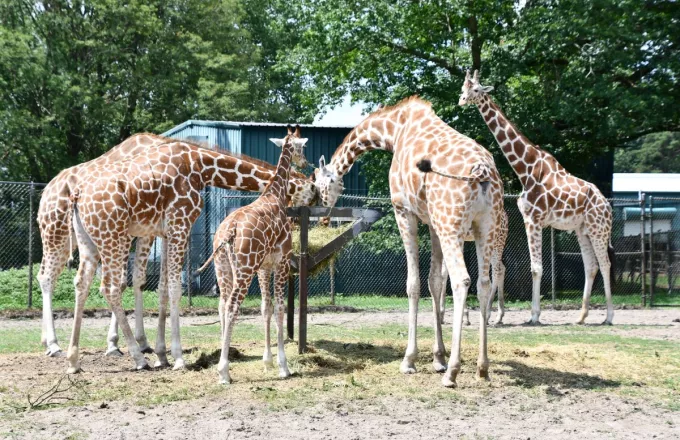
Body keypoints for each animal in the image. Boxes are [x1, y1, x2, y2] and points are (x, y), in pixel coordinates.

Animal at [35, 132, 316, 360]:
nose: (306, 164)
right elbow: (163, 285)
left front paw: (154, 348)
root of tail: (50, 192)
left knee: (71, 280)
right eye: (312, 192)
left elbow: (158, 286)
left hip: (80, 239)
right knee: (67, 280)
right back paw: (67, 346)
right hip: (71, 235)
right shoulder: (173, 225)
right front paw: (169, 352)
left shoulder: (160, 231)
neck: (200, 166)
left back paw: (65, 352)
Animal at [314, 97, 504, 388]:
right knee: (483, 283)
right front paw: (438, 357)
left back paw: (453, 372)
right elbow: (435, 282)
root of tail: (482, 173)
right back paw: (482, 368)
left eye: (320, 183)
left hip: (453, 226)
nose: (324, 216)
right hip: (484, 228)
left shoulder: (404, 211)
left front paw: (410, 360)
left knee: (462, 280)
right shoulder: (433, 222)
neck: (393, 131)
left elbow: (414, 283)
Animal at [462, 70, 616, 324]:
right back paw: (581, 316)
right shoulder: (532, 220)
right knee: (591, 266)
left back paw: (609, 317)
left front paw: (534, 315)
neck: (526, 168)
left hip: (598, 229)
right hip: (582, 229)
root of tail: (607, 205)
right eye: (462, 88)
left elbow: (536, 268)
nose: (461, 100)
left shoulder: (534, 219)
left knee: (605, 264)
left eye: (475, 89)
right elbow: (536, 267)